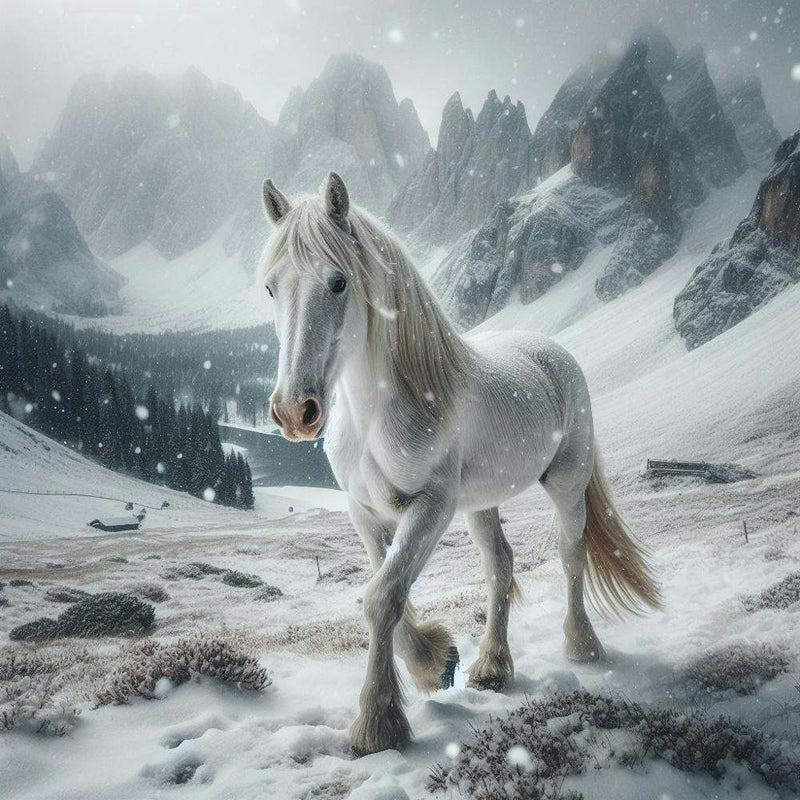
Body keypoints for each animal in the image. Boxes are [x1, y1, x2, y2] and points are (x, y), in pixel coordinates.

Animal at [259, 172, 661, 756]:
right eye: (271, 287)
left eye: (338, 283)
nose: (295, 412)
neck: (379, 413)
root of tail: (553, 352)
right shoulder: (364, 512)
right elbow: (386, 592)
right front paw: (436, 663)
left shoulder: (432, 506)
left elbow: (382, 597)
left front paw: (377, 724)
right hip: (481, 505)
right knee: (501, 564)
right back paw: (493, 667)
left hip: (565, 485)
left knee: (570, 556)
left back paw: (582, 645)